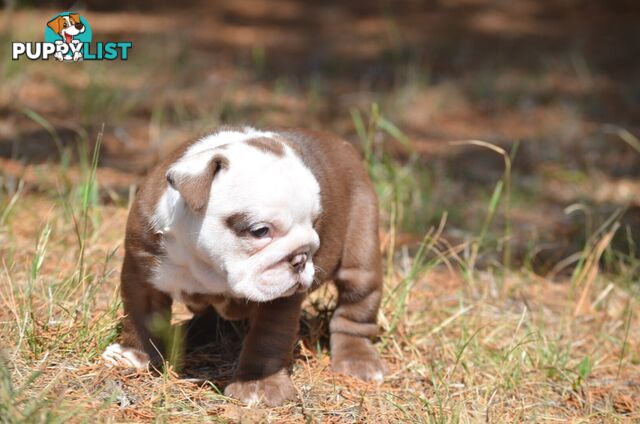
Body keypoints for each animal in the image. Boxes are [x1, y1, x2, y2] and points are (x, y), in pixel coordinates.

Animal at [102, 127, 382, 406]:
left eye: (315, 223)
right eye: (260, 231)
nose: (301, 257)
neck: (207, 266)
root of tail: (341, 143)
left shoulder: (280, 298)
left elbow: (268, 338)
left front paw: (258, 384)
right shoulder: (143, 272)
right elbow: (141, 317)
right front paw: (133, 356)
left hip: (361, 246)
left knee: (355, 307)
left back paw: (358, 360)